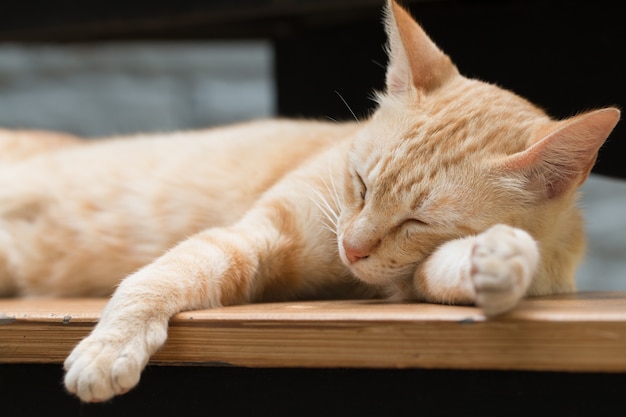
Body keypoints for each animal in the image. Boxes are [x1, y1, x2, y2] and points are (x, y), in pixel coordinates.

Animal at [0, 0, 616, 404]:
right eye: (361, 183)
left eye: (419, 221)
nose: (353, 247)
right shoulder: (251, 237)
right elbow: (156, 278)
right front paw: (110, 347)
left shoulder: (406, 282)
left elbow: (448, 274)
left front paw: (500, 260)